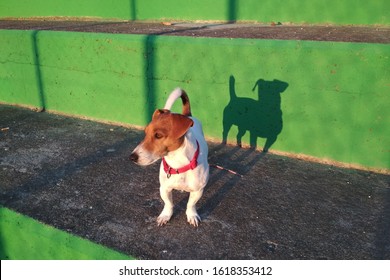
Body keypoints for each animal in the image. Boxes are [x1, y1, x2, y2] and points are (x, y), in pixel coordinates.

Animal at [130, 88, 210, 226]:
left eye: (158, 135)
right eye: (145, 133)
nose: (132, 157)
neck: (178, 164)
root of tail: (188, 115)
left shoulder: (197, 191)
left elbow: (191, 204)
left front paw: (192, 215)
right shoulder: (164, 188)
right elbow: (168, 204)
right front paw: (165, 215)